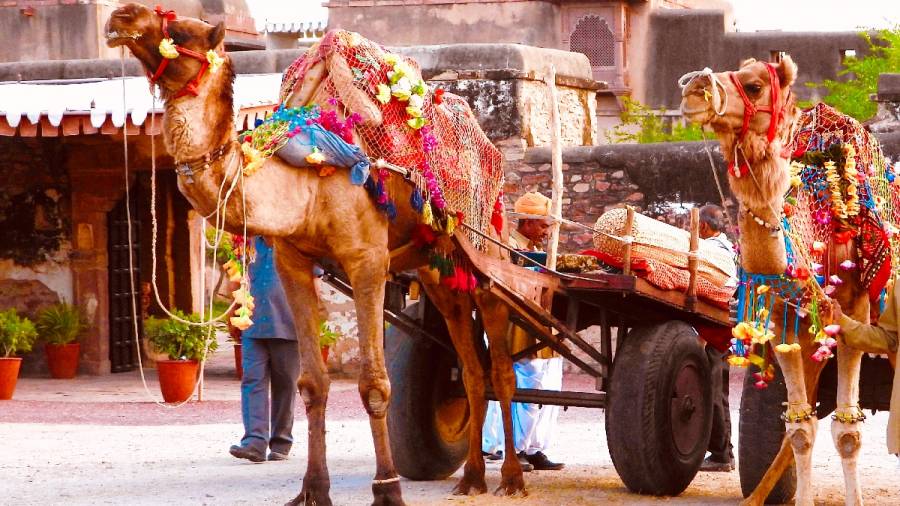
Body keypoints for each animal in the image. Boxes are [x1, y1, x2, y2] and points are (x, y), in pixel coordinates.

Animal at [105, 4, 528, 505]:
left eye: (184, 31)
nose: (121, 15)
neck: (306, 180)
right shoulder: (294, 262)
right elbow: (311, 384)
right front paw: (313, 487)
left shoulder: (367, 260)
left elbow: (374, 383)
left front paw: (387, 488)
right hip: (436, 271)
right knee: (471, 366)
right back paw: (472, 477)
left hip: (486, 254)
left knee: (501, 365)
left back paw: (512, 477)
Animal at [681, 56, 894, 505]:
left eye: (755, 86)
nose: (693, 90)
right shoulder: (785, 320)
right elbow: (799, 428)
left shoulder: (857, 310)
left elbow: (847, 431)